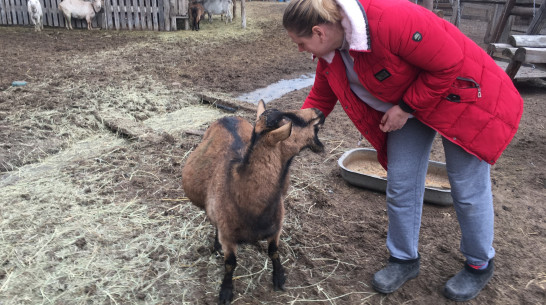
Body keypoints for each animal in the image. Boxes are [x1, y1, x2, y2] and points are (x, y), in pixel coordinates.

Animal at [181, 100, 324, 302]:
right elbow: (230, 263)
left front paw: (279, 277)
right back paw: (216, 245)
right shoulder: (228, 235)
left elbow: (274, 251)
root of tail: (228, 117)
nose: (319, 111)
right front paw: (226, 292)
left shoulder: (276, 226)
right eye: (291, 118)